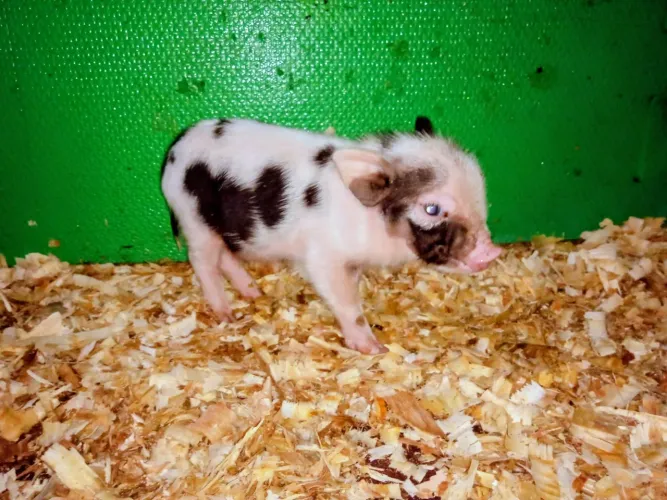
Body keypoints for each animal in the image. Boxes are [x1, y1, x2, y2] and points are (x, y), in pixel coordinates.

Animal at [160, 116, 501, 354]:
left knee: (224, 256)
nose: (492, 251)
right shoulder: (325, 257)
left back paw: (253, 293)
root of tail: (175, 150)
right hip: (193, 219)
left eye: (481, 196)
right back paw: (227, 314)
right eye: (432, 208)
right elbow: (346, 301)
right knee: (203, 261)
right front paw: (373, 349)